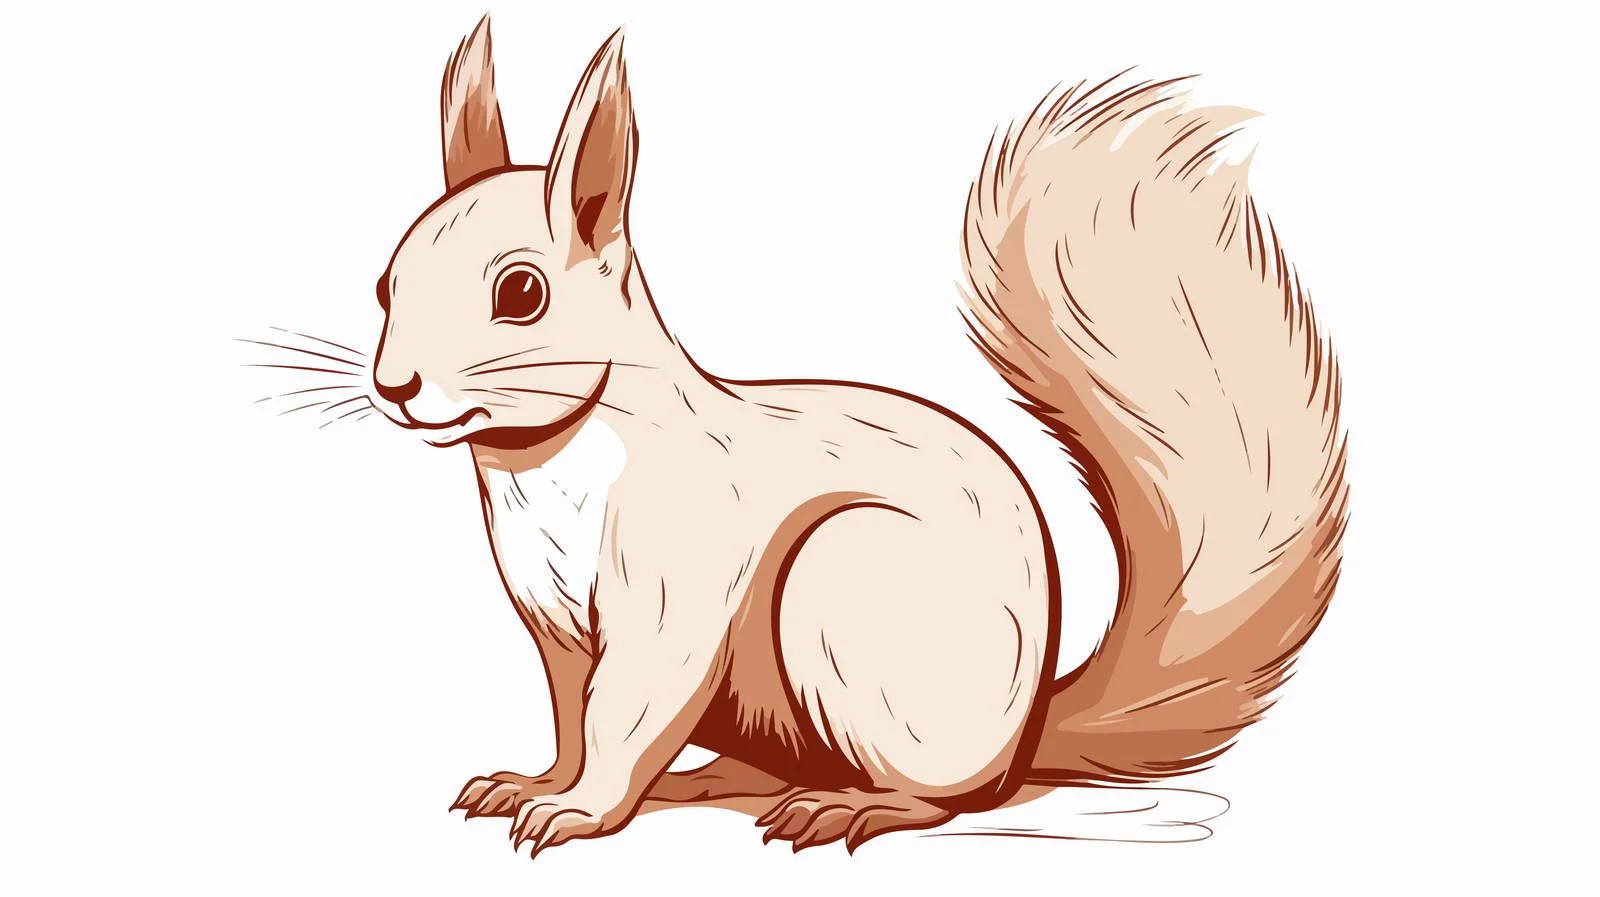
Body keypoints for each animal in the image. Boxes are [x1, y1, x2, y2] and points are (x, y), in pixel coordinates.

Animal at [359, 16, 1347, 856]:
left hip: (846, 584)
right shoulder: (554, 624)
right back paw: (710, 778)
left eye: (520, 293)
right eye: (383, 282)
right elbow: (572, 714)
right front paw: (536, 783)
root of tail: (1024, 736)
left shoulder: (673, 587)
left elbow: (625, 708)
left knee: (942, 797)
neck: (547, 463)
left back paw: (851, 804)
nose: (395, 387)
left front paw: (578, 810)